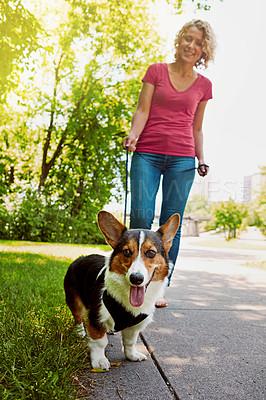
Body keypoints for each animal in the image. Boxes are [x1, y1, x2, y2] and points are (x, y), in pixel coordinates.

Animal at [64, 211, 180, 370]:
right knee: (78, 317)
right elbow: (100, 341)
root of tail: (80, 258)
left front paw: (132, 355)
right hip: (74, 300)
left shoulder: (135, 326)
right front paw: (99, 360)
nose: (136, 278)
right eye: (127, 252)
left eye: (151, 253)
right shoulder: (96, 317)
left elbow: (130, 342)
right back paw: (80, 331)